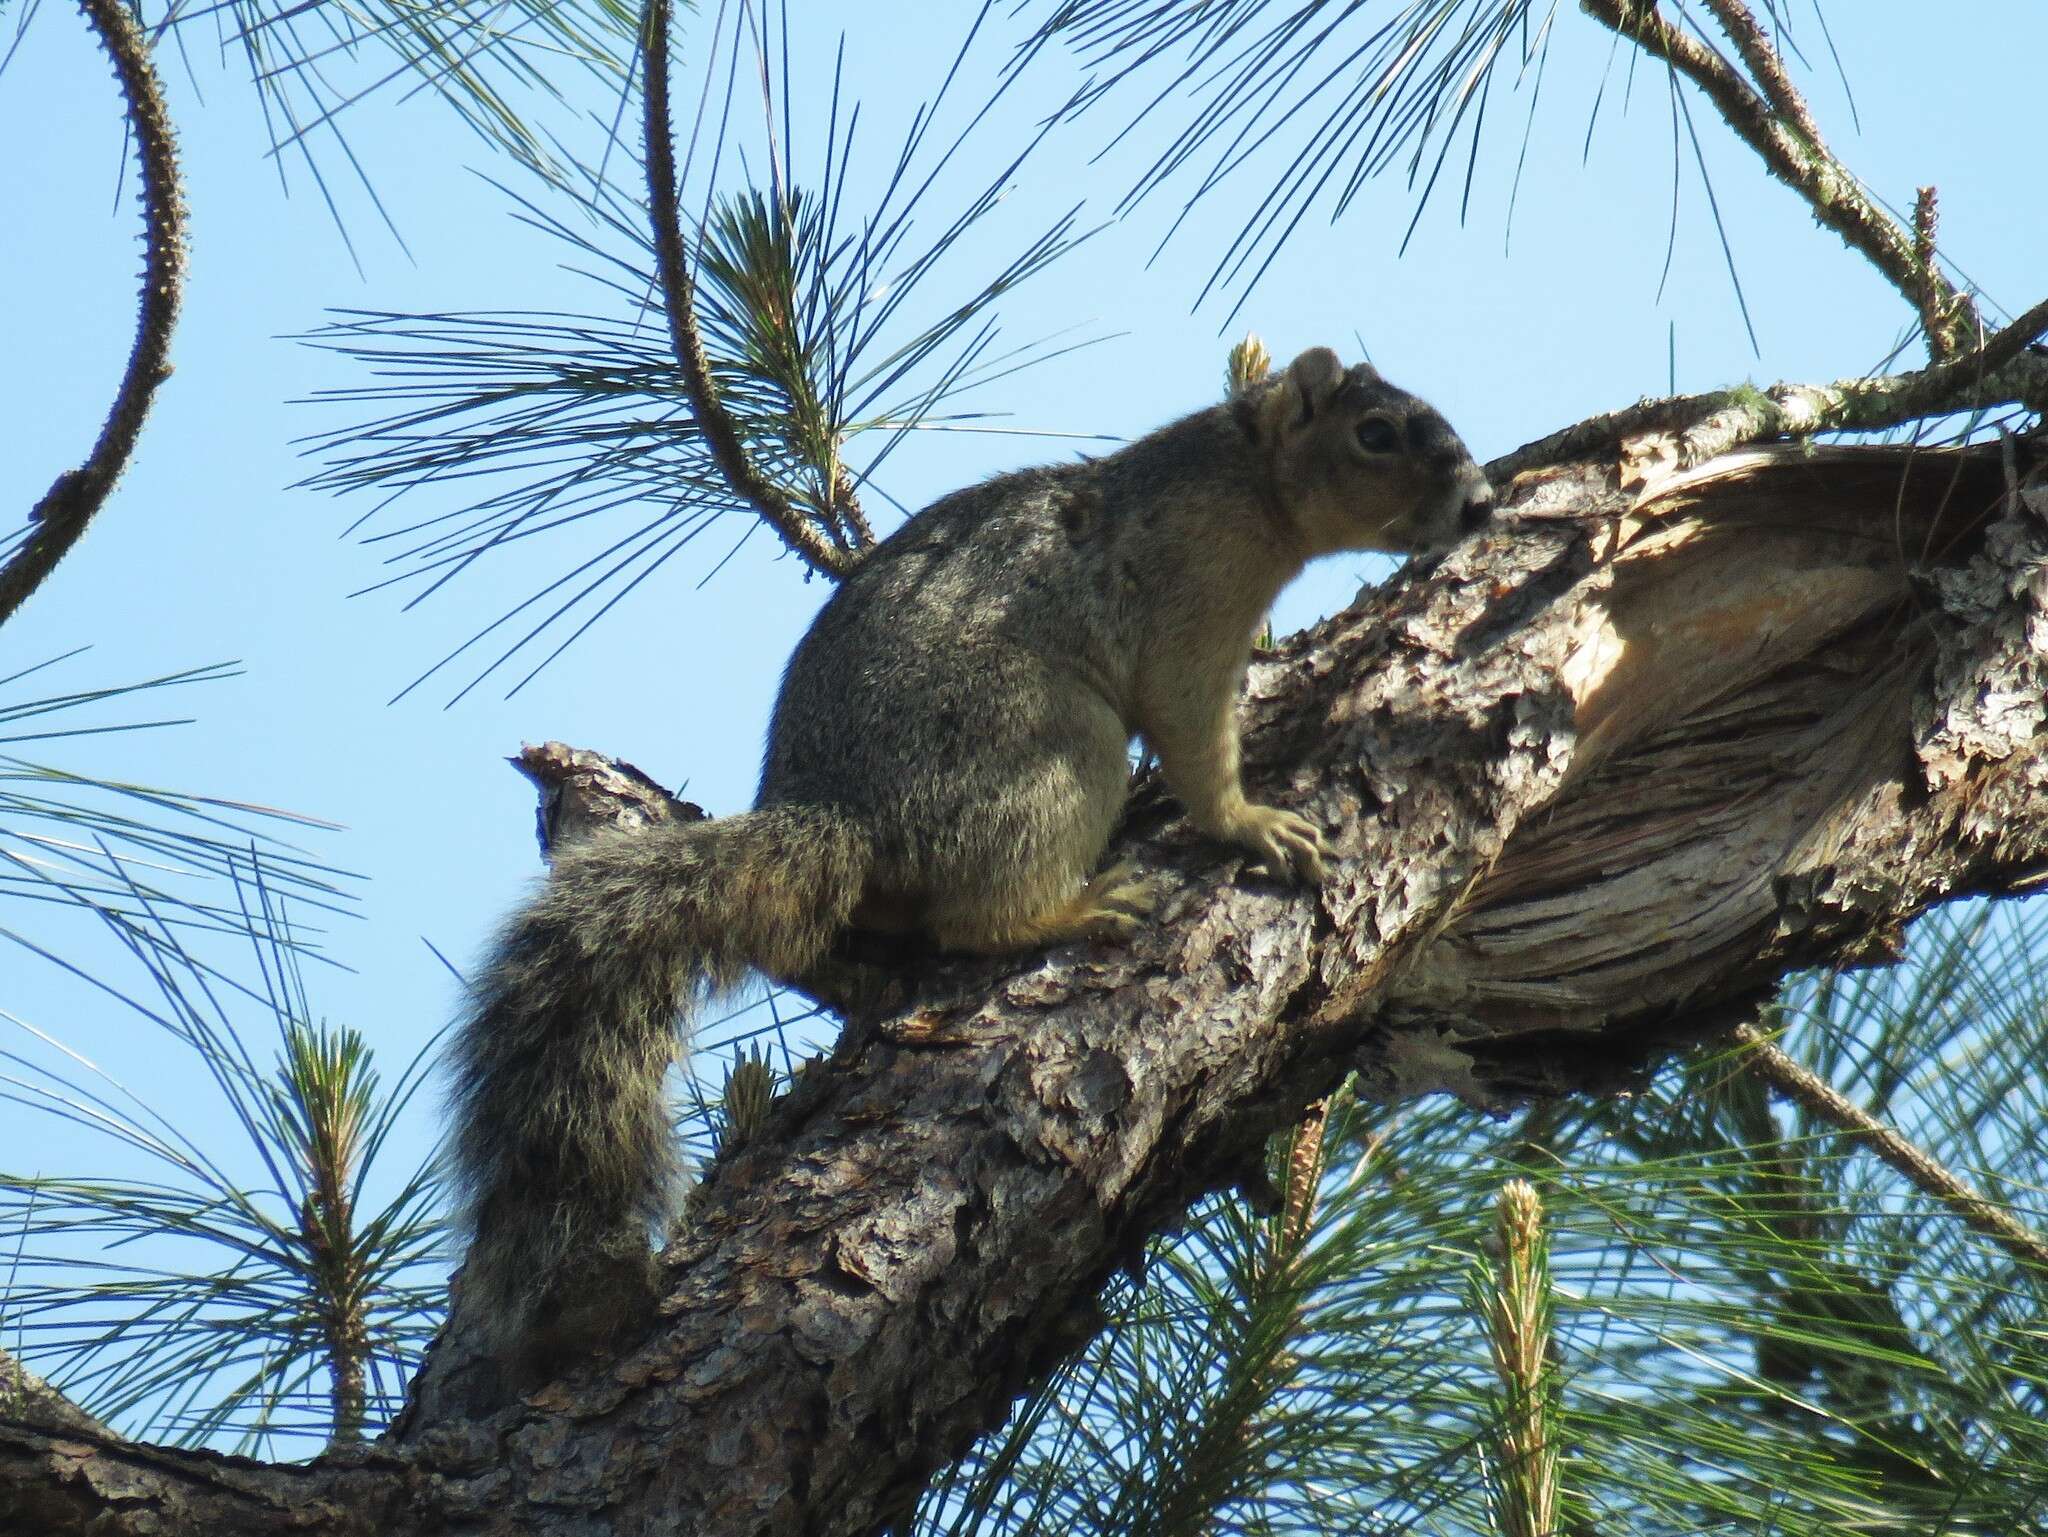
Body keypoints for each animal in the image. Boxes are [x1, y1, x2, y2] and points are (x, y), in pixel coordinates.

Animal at [448, 342, 1490, 1377]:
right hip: (1057, 744)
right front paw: (1252, 821)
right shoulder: (1189, 603)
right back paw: (1071, 906)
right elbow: (1193, 734)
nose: (1481, 504)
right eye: (1376, 433)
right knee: (973, 917)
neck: (1244, 475)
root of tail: (846, 819)